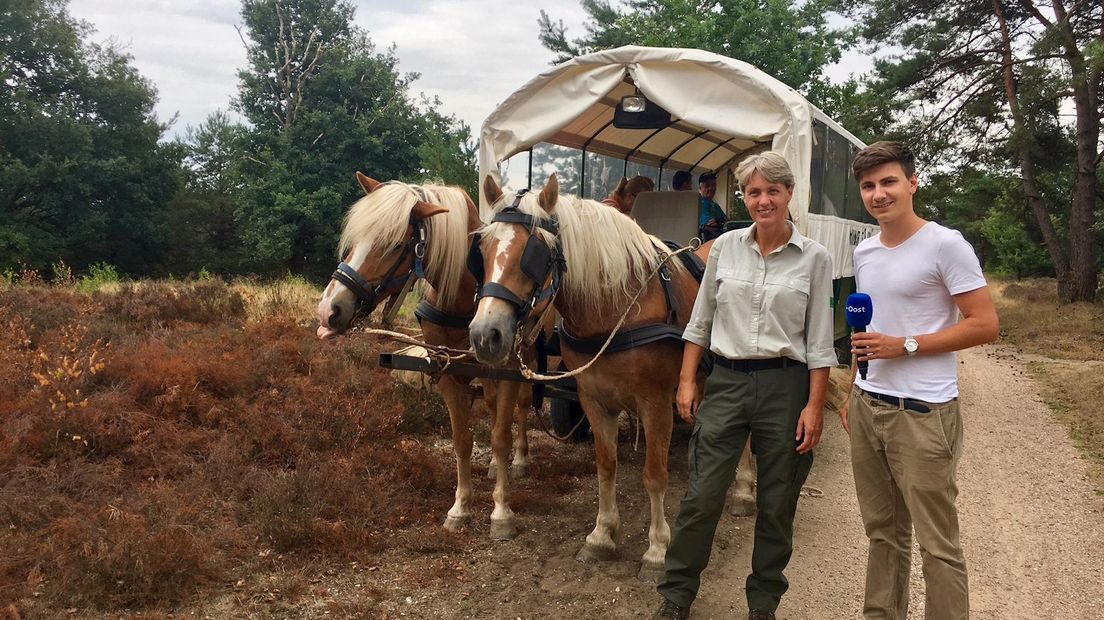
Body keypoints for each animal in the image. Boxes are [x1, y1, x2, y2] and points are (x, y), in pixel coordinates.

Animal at [315, 170, 529, 538]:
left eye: (394, 245)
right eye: (355, 239)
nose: (329, 309)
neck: (463, 297)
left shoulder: (509, 372)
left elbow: (500, 436)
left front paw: (501, 511)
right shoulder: (446, 372)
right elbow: (462, 439)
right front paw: (460, 507)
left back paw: (520, 460)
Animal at [465, 172, 750, 573]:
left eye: (535, 254)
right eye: (483, 251)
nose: (484, 335)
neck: (618, 306)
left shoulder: (655, 402)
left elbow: (655, 475)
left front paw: (657, 548)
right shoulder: (594, 398)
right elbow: (606, 465)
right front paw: (601, 535)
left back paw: (744, 490)